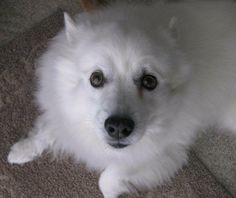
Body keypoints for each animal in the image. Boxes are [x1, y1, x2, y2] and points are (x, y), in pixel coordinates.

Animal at [7, 1, 236, 198]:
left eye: (149, 81)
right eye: (96, 78)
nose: (118, 127)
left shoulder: (164, 150)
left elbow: (107, 178)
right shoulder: (62, 109)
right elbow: (46, 129)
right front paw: (21, 151)